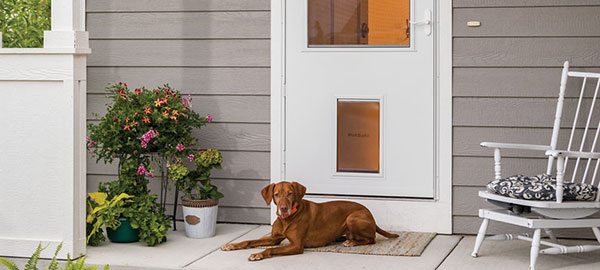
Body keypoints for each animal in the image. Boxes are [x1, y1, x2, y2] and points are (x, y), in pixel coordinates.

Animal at [220, 180, 398, 260]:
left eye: (290, 193)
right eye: (276, 194)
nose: (283, 208)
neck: (286, 219)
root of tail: (371, 216)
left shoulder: (296, 245)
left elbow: (270, 249)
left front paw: (258, 254)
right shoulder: (274, 238)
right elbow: (249, 241)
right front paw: (232, 245)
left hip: (352, 217)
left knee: (371, 239)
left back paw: (352, 242)